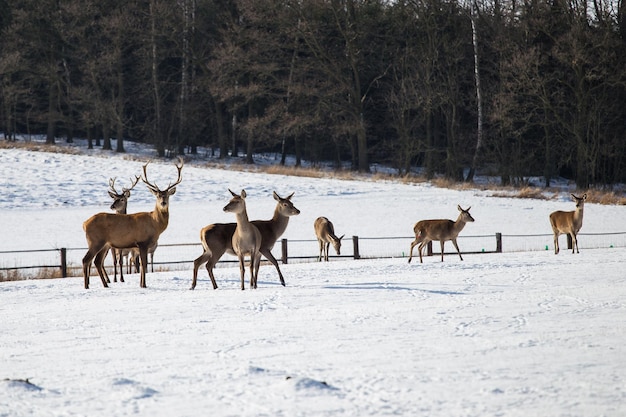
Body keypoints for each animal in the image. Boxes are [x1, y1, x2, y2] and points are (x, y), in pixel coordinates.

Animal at [81, 154, 182, 288]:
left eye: (167, 195)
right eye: (157, 196)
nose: (163, 202)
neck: (155, 224)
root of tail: (84, 223)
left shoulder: (139, 246)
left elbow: (140, 264)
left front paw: (141, 284)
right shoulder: (142, 242)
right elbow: (143, 264)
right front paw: (144, 285)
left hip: (104, 244)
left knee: (97, 261)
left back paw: (105, 285)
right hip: (95, 240)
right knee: (86, 260)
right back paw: (87, 286)